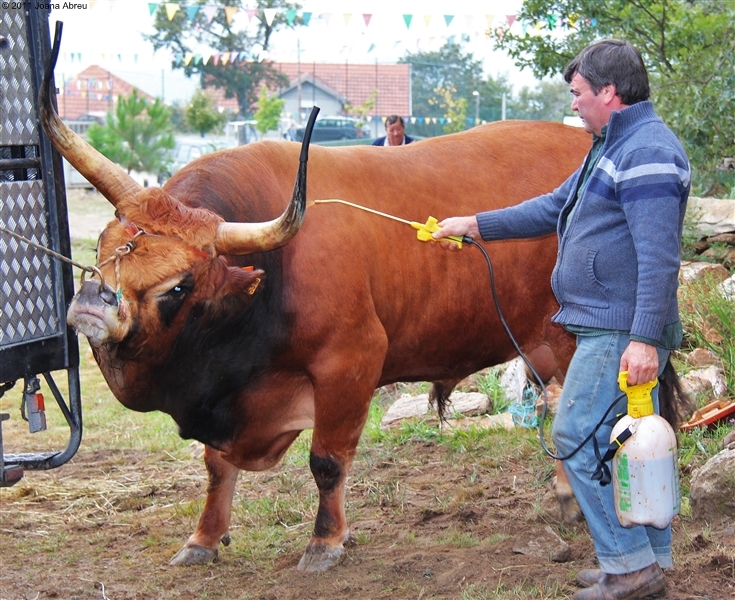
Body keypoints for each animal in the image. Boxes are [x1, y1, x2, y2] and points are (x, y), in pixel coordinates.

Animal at [41, 28, 592, 572]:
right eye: (102, 245)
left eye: (178, 285)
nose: (92, 302)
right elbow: (217, 468)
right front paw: (203, 538)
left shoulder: (350, 364)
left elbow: (326, 462)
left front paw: (325, 541)